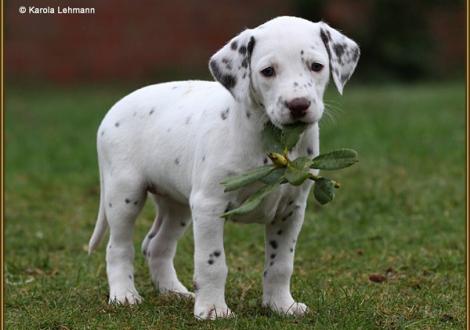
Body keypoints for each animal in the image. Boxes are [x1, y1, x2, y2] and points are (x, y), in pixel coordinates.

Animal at [88, 16, 360, 320]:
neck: (269, 137)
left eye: (317, 66)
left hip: (178, 204)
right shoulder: (209, 206)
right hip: (124, 195)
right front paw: (213, 309)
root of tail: (113, 109)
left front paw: (281, 305)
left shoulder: (291, 210)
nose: (298, 105)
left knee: (156, 245)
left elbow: (280, 264)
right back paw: (124, 295)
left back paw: (173, 291)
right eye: (268, 71)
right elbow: (212, 263)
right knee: (118, 247)